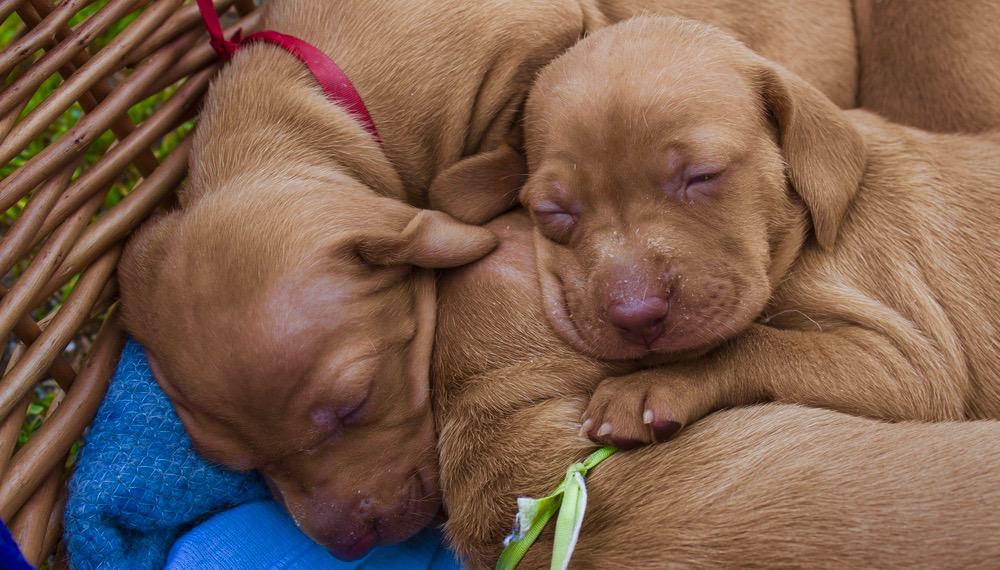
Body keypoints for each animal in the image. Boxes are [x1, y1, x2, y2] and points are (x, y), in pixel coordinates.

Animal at [512, 15, 1000, 446]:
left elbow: (751, 343)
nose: (637, 314)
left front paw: (649, 386)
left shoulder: (907, 364)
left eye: (703, 176)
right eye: (554, 211)